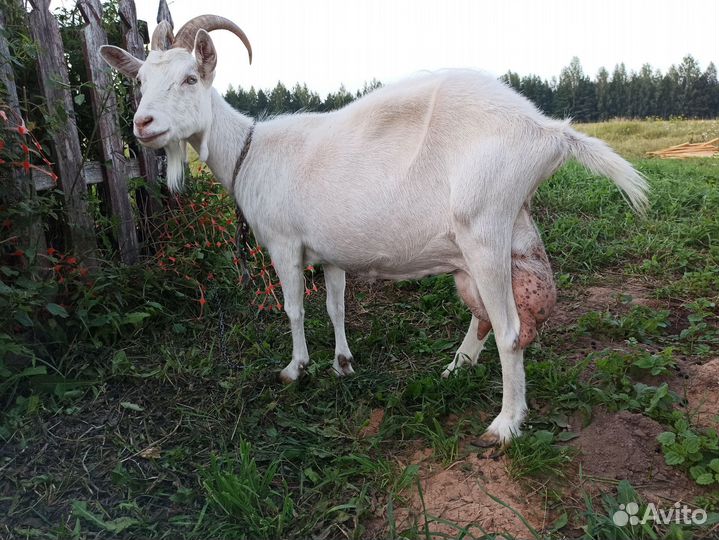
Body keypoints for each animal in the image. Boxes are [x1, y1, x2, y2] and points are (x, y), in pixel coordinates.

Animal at [100, 15, 648, 446]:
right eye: (140, 80)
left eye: (191, 77)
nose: (143, 124)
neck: (250, 151)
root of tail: (549, 132)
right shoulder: (329, 252)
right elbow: (336, 306)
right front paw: (342, 363)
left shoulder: (284, 243)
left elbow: (295, 309)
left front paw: (295, 369)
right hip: (493, 242)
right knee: (486, 318)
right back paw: (456, 368)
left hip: (484, 228)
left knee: (510, 330)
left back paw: (505, 425)